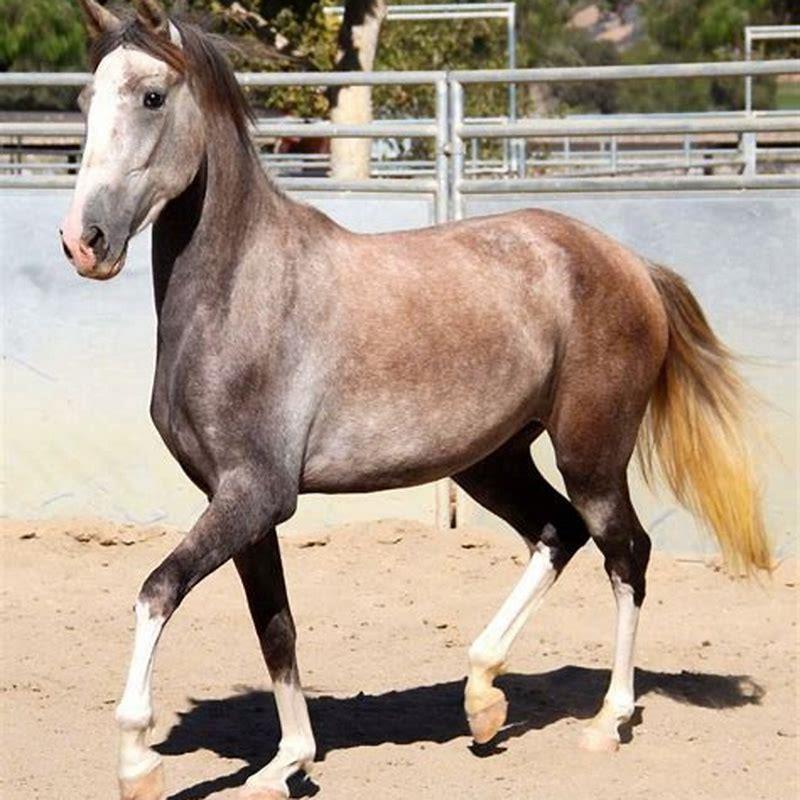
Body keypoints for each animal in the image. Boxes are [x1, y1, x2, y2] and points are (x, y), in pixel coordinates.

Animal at [60, 3, 771, 799]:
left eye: (152, 96)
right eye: (85, 101)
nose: (83, 241)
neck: (243, 293)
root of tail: (632, 265)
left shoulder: (256, 494)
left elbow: (158, 589)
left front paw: (137, 760)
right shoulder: (240, 503)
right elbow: (275, 626)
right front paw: (286, 763)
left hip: (591, 455)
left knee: (626, 554)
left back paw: (605, 722)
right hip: (492, 461)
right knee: (558, 533)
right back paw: (483, 698)